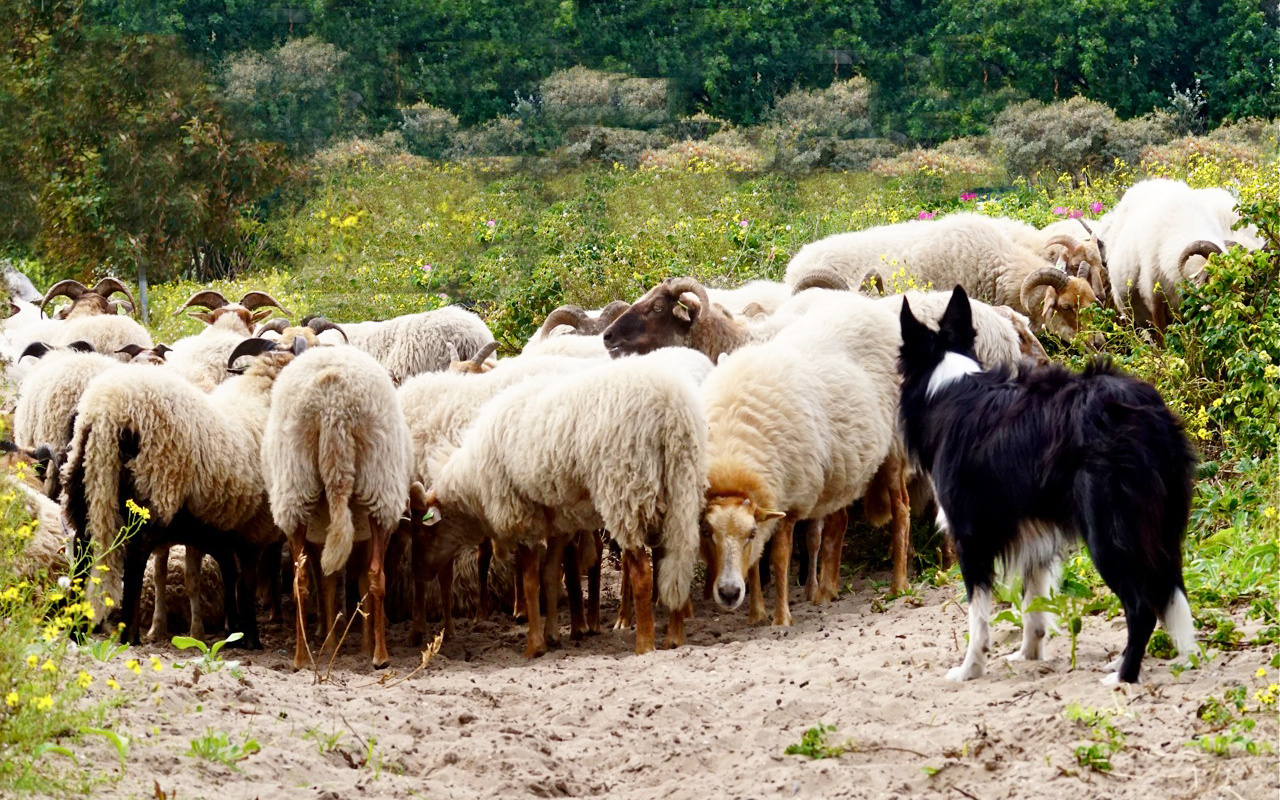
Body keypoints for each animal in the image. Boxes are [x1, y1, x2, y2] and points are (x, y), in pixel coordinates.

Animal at [263, 340, 412, 665]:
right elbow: (347, 579)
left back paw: (302, 658)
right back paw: (379, 656)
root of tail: (333, 404)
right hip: (379, 485)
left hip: (295, 484)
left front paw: (333, 644)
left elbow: (329, 580)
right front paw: (352, 644)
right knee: (375, 575)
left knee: (301, 579)